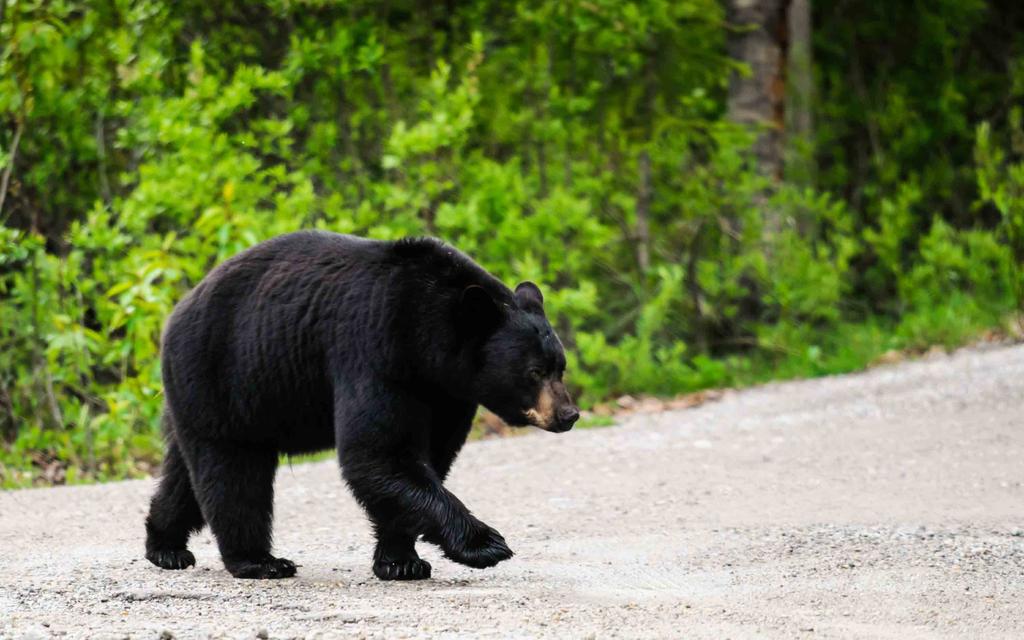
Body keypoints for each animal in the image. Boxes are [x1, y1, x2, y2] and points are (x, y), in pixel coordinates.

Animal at [142, 230, 585, 577]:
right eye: (534, 372)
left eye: (560, 367)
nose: (568, 415)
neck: (426, 336)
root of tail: (178, 311)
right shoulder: (375, 351)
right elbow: (379, 452)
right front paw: (485, 543)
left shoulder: (446, 393)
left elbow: (426, 458)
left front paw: (400, 560)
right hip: (224, 375)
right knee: (233, 470)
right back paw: (259, 561)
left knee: (186, 471)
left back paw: (165, 546)